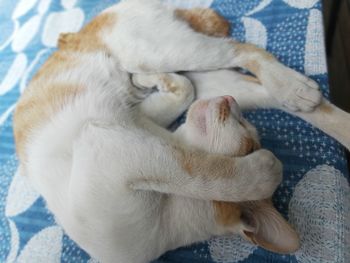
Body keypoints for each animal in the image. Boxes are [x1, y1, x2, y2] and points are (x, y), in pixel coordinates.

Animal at [13, 0, 350, 262]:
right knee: (261, 86)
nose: (231, 104)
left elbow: (201, 172)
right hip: (203, 75)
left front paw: (265, 170)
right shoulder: (128, 132)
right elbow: (186, 112)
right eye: (245, 130)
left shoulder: (119, 150)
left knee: (243, 50)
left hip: (162, 51)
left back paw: (292, 86)